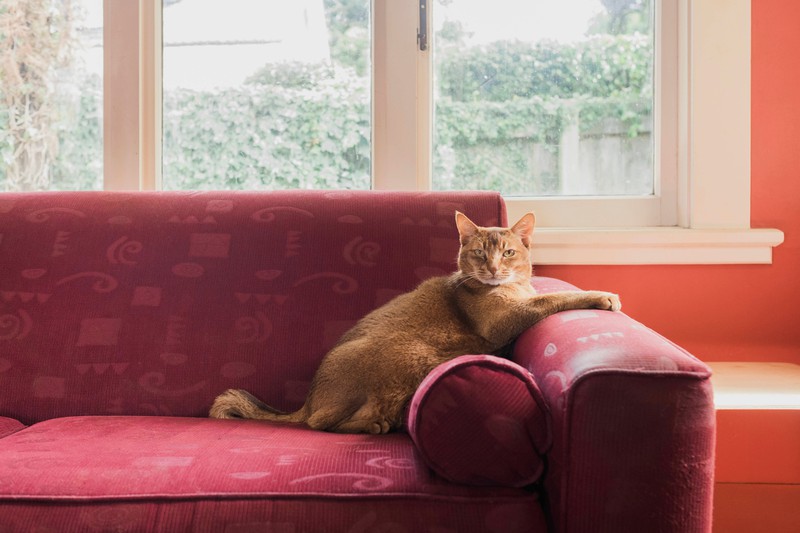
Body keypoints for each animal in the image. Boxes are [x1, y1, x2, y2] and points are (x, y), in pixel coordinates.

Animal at [209, 210, 620, 430]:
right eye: (477, 253)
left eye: (507, 252)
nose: (491, 269)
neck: (512, 287)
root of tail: (307, 401)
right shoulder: (502, 319)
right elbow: (553, 298)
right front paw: (603, 296)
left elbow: (544, 295)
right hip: (402, 352)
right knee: (321, 423)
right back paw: (369, 424)